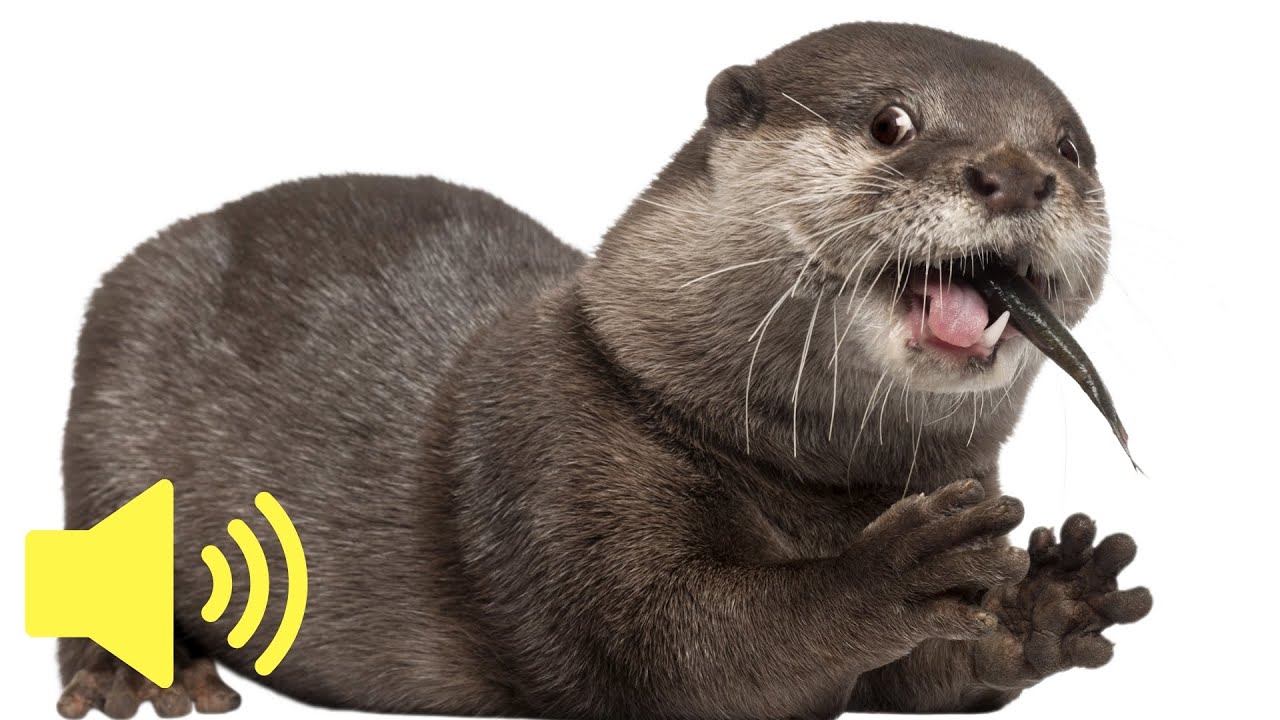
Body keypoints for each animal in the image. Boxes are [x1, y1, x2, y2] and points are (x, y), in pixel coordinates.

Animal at [55, 21, 1151, 720]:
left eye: (1071, 147)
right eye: (892, 122)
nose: (1017, 175)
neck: (807, 484)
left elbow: (928, 683)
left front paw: (1052, 595)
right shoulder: (553, 455)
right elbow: (671, 651)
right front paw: (887, 571)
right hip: (110, 399)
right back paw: (136, 675)